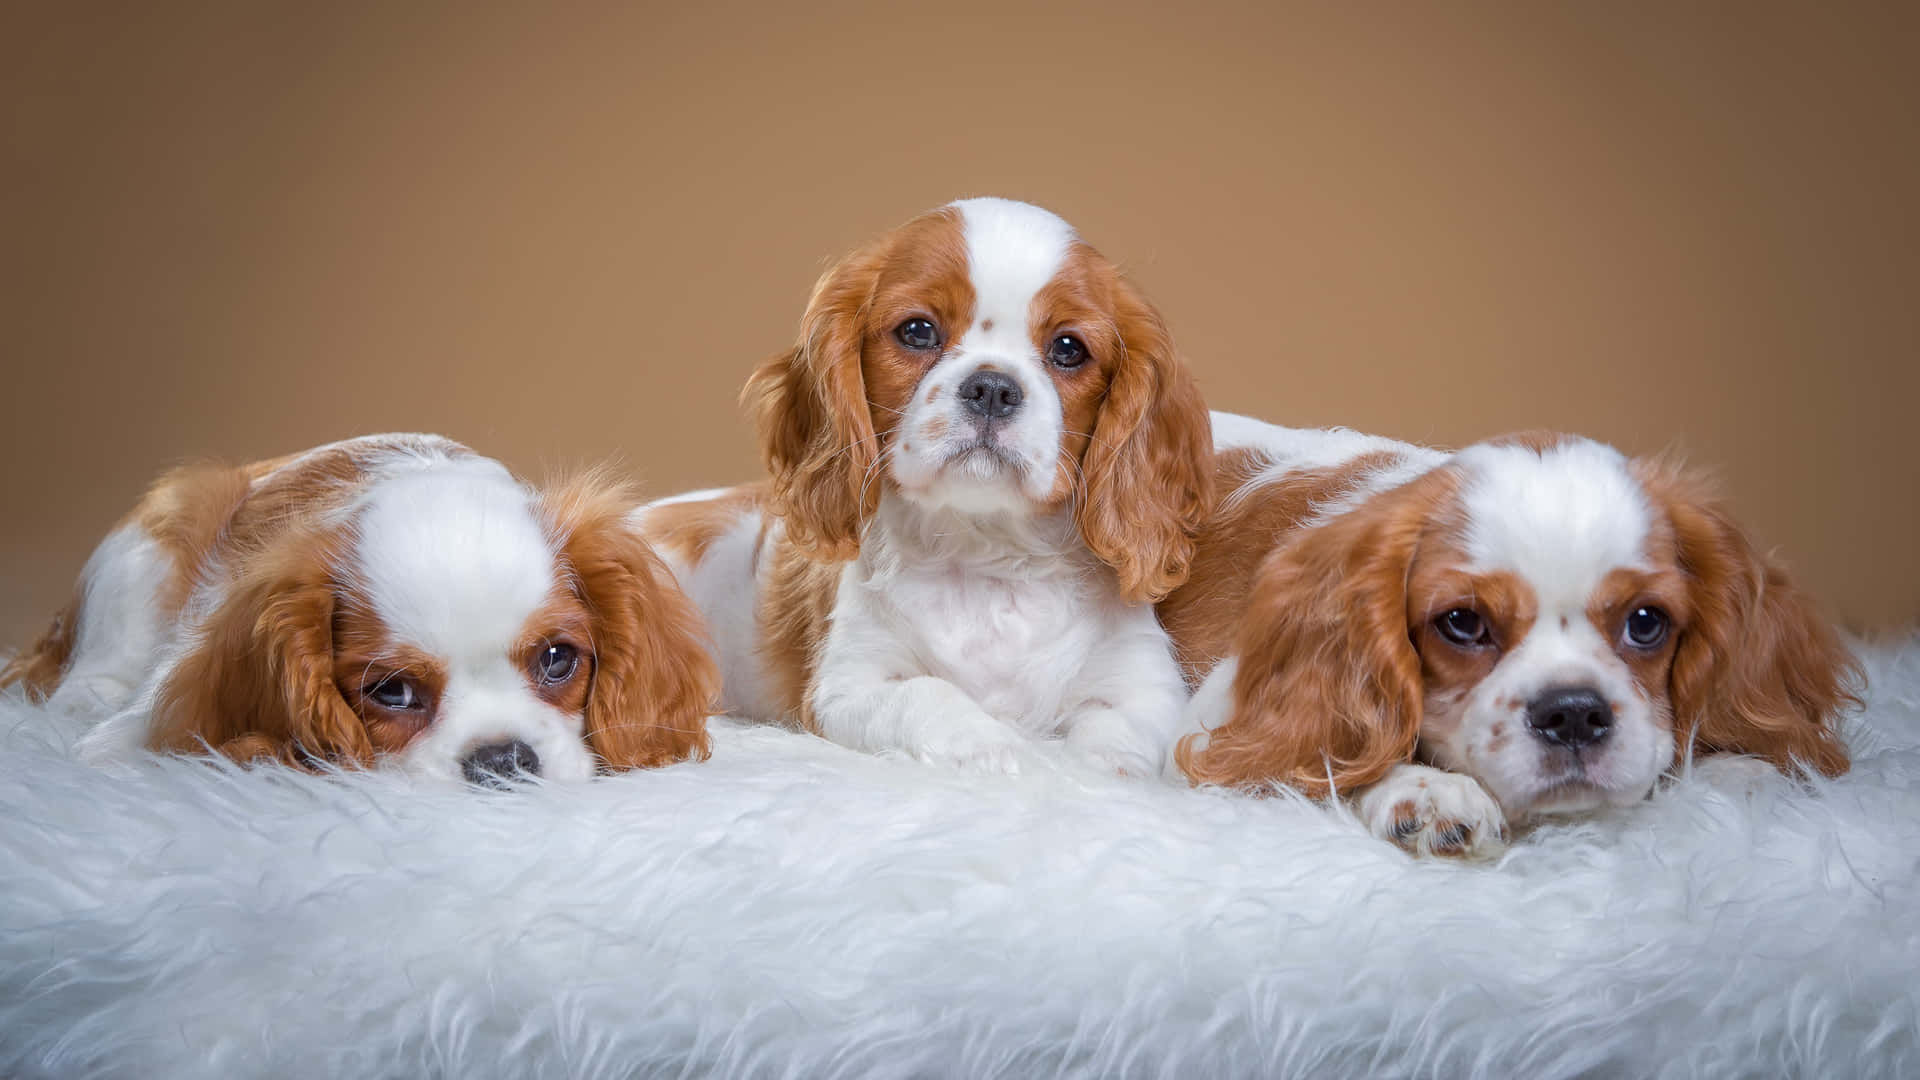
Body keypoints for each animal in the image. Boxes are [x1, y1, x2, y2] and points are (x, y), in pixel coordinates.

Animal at [1152, 409, 1858, 849]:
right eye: (1462, 623)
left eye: (1646, 622)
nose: (1572, 713)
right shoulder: (1214, 730)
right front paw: (1425, 789)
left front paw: (1734, 771)